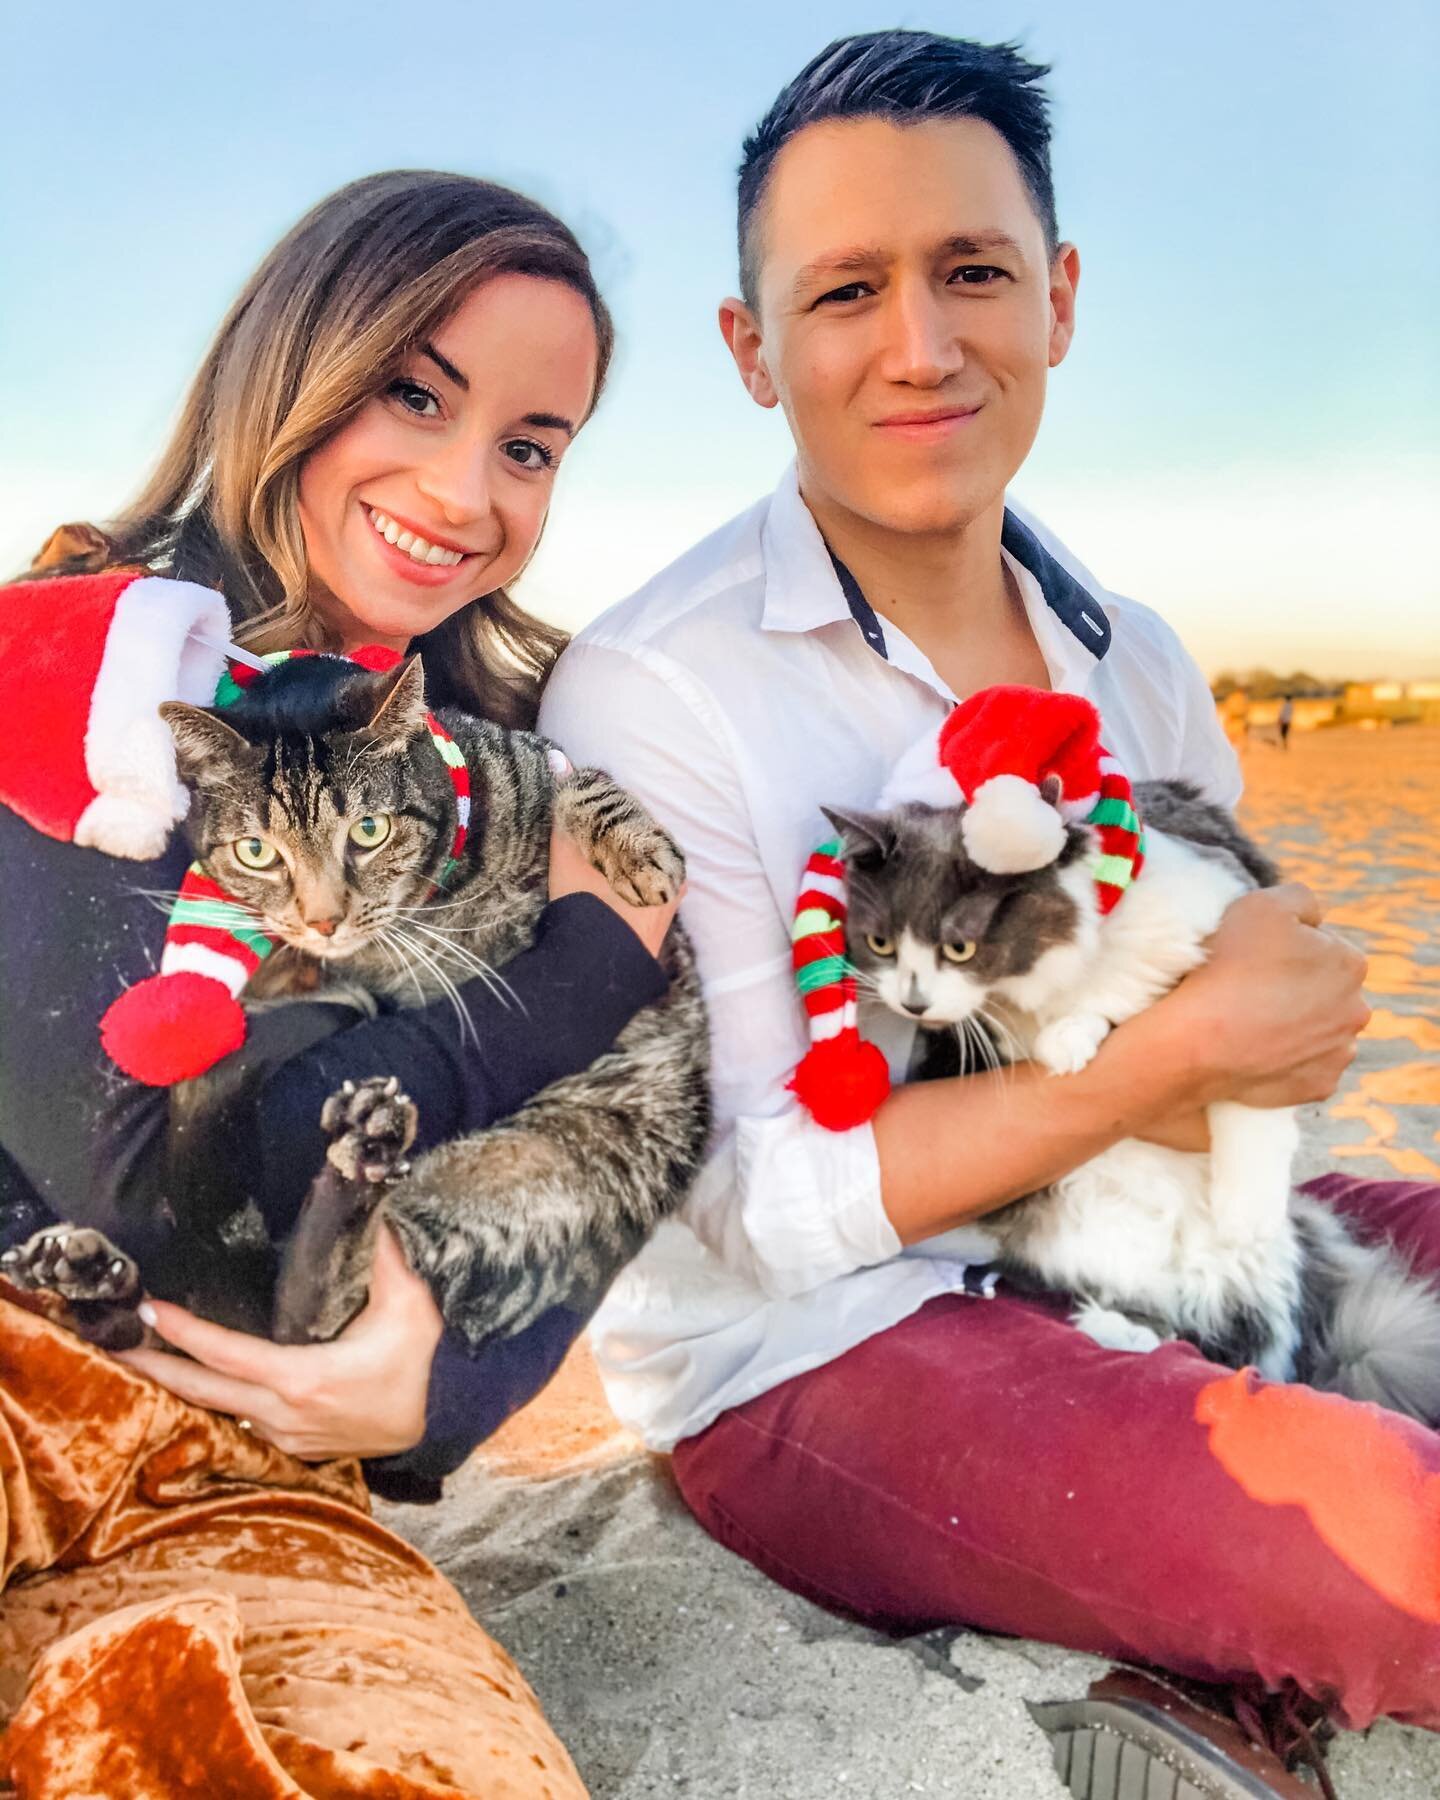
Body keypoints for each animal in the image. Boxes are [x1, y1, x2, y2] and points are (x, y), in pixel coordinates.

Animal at [2, 658, 712, 1353]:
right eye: (257, 852)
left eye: (369, 831)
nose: (324, 920)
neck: (445, 895)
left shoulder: (537, 764)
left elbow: (583, 785)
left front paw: (641, 852)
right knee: (282, 1321)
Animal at [828, 784, 1440, 1418]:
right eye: (879, 943)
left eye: (958, 947)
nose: (913, 1004)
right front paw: (1067, 1040)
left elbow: (1248, 1100)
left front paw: (1244, 1210)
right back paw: (1115, 1328)